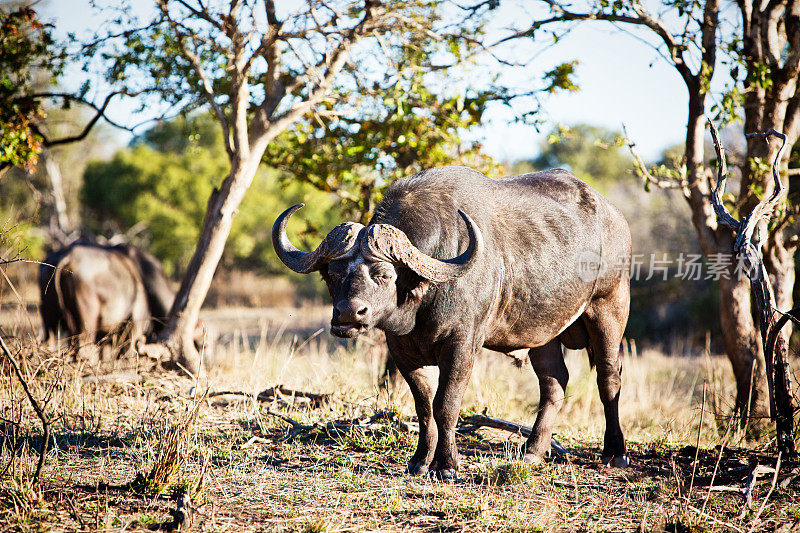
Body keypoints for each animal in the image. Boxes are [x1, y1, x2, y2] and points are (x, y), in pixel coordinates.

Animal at [39, 242, 177, 362]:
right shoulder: (134, 323)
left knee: (49, 342)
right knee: (83, 348)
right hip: (86, 321)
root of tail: (67, 257)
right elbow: (128, 353)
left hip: (49, 318)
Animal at [274, 166, 632, 478]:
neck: (422, 298)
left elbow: (446, 404)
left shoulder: (462, 346)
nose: (349, 314)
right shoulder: (402, 352)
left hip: (610, 308)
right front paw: (420, 461)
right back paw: (532, 452)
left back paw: (615, 453)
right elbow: (423, 406)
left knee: (608, 377)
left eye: (384, 274)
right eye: (333, 275)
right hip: (542, 334)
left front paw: (446, 465)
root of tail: (615, 217)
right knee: (554, 382)